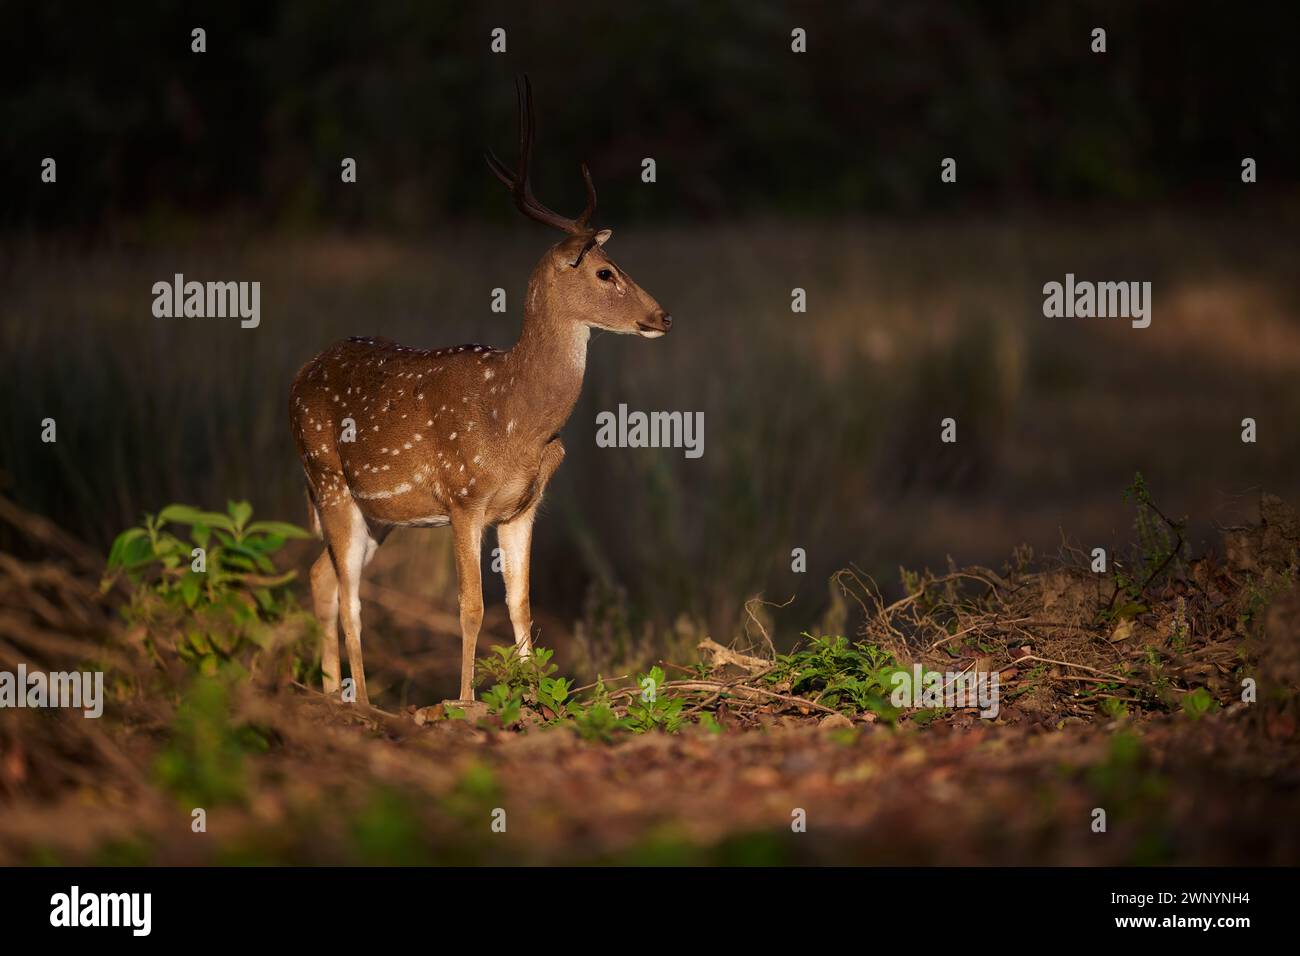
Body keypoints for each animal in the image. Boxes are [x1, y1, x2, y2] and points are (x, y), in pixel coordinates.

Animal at [291, 74, 676, 707]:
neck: (519, 421)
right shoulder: (463, 495)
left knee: (322, 577)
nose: (663, 316)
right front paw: (468, 700)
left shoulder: (523, 507)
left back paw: (331, 695)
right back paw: (363, 702)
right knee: (349, 598)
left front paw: (535, 697)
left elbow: (520, 606)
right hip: (327, 478)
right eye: (605, 272)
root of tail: (298, 376)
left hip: (377, 511)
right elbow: (471, 607)